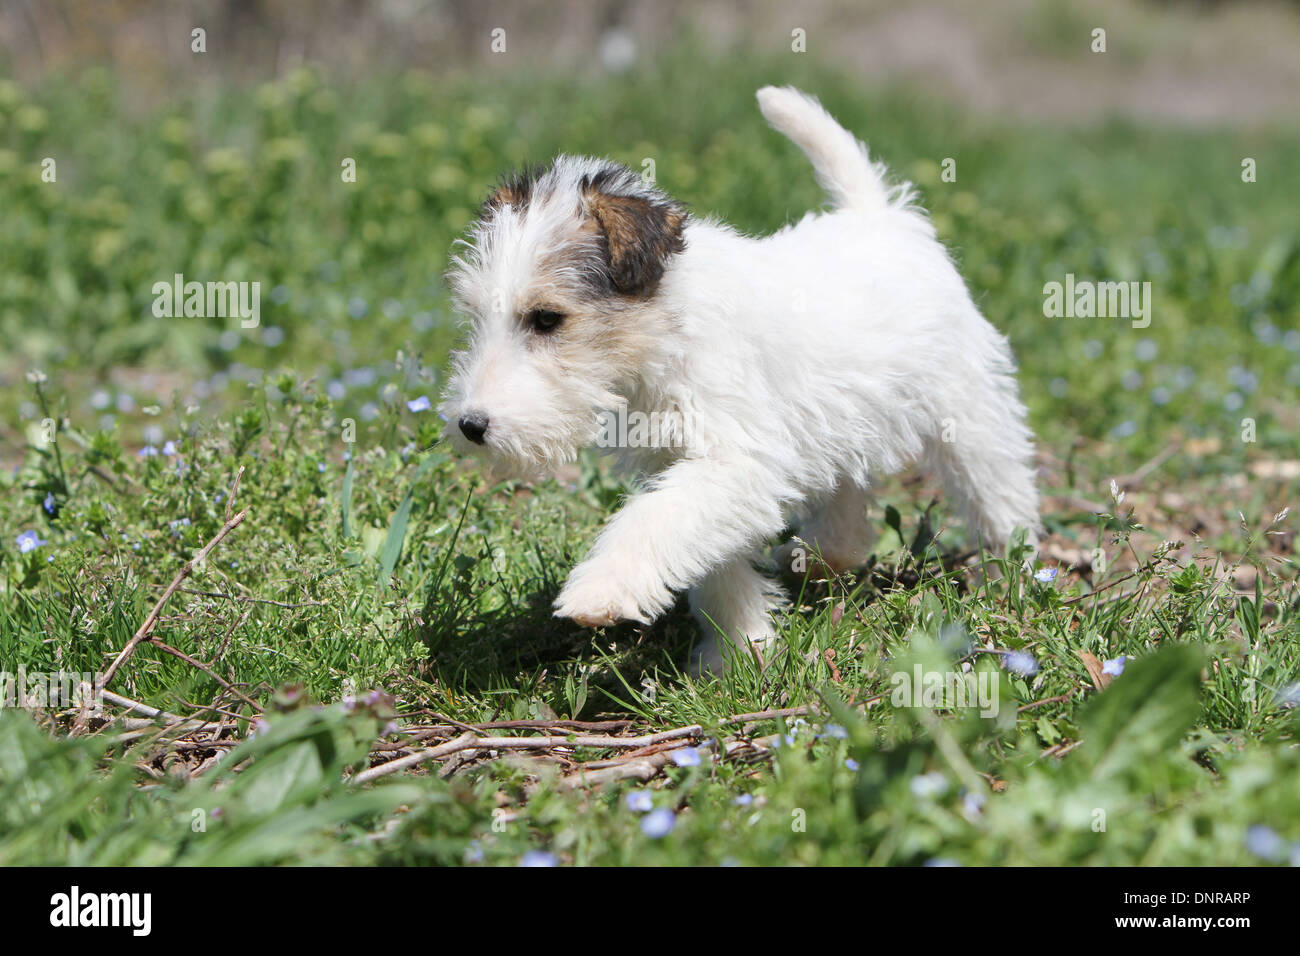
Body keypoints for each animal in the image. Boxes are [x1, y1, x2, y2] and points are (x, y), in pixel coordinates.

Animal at [441, 87, 1040, 671]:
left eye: (546, 319)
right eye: (477, 316)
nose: (470, 426)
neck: (668, 332)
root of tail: (881, 216)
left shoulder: (732, 462)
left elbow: (654, 520)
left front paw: (602, 590)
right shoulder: (690, 467)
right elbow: (710, 563)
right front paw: (738, 651)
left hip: (967, 413)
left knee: (999, 494)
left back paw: (1016, 575)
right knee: (847, 507)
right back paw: (817, 558)